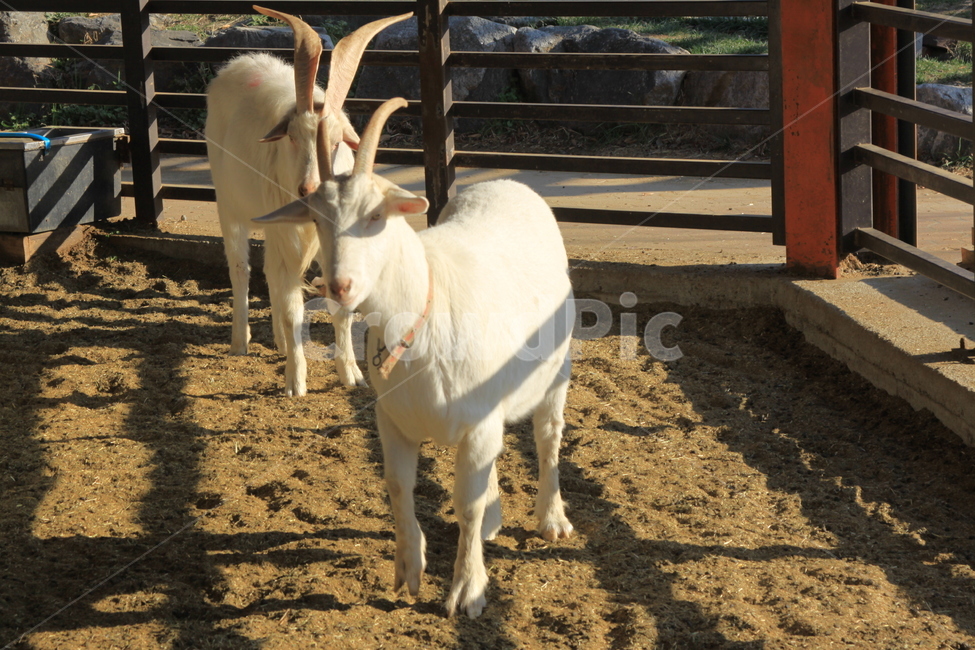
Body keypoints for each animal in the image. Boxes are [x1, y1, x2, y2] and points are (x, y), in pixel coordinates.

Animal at [205, 7, 411, 395]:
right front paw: (295, 381)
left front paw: (351, 375)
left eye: (337, 142)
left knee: (270, 274)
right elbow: (291, 309)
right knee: (242, 270)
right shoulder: (286, 233)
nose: (308, 188)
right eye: (292, 138)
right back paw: (241, 342)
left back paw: (282, 343)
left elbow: (340, 308)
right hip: (228, 205)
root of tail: (240, 62)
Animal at [255, 98, 576, 617]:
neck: (429, 304)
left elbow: (465, 504)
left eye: (374, 216)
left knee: (548, 437)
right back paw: (496, 519)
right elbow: (397, 486)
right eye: (318, 219)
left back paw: (551, 518)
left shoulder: (477, 422)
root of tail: (506, 182)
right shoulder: (395, 420)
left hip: (557, 371)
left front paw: (467, 590)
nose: (338, 286)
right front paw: (409, 570)